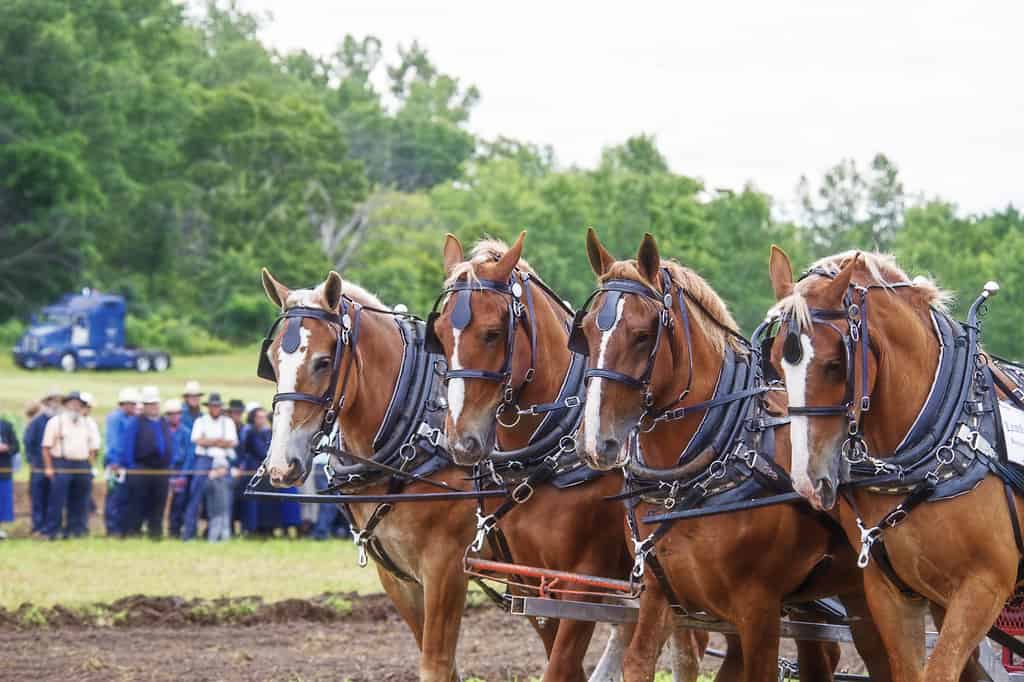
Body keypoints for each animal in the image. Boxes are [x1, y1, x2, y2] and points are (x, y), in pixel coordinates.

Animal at [573, 229, 892, 679]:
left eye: (642, 335)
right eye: (584, 330)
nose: (596, 441)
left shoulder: (758, 609)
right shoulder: (661, 594)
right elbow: (639, 662)